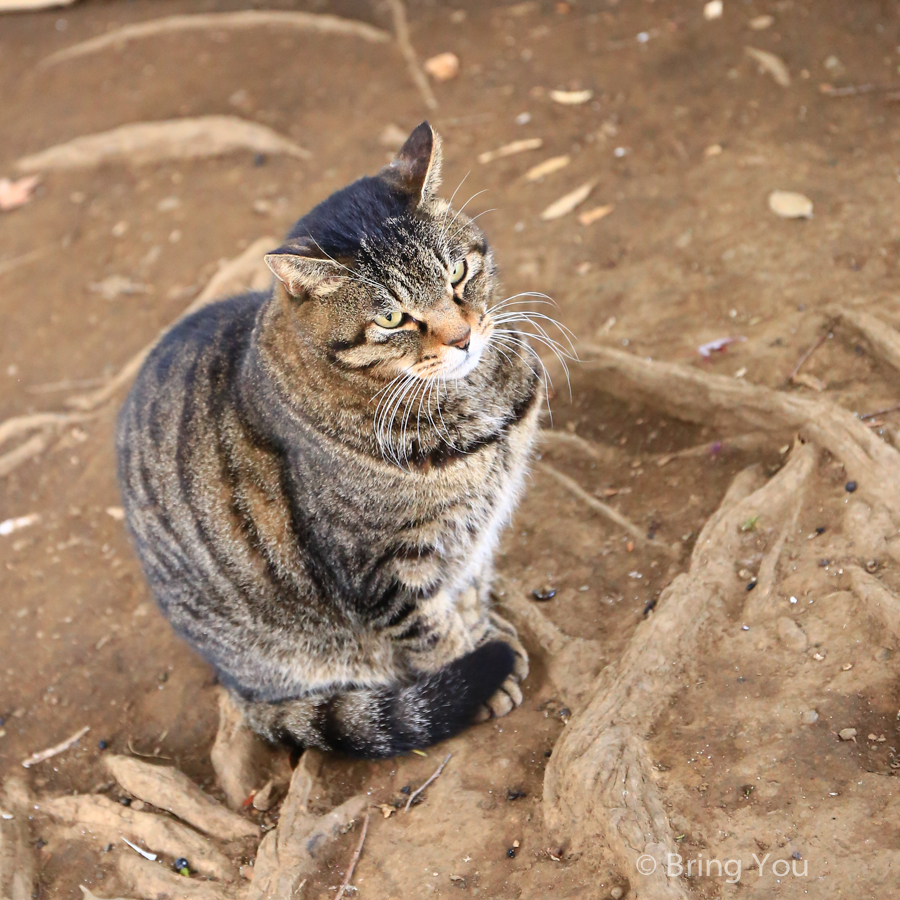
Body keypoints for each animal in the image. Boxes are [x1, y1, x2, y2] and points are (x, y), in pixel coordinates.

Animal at [117, 121, 544, 760]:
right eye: (392, 319)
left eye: (457, 275)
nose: (464, 338)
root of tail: (234, 685)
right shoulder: (381, 570)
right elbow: (431, 631)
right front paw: (474, 668)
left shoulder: (475, 532)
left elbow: (468, 586)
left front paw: (483, 629)